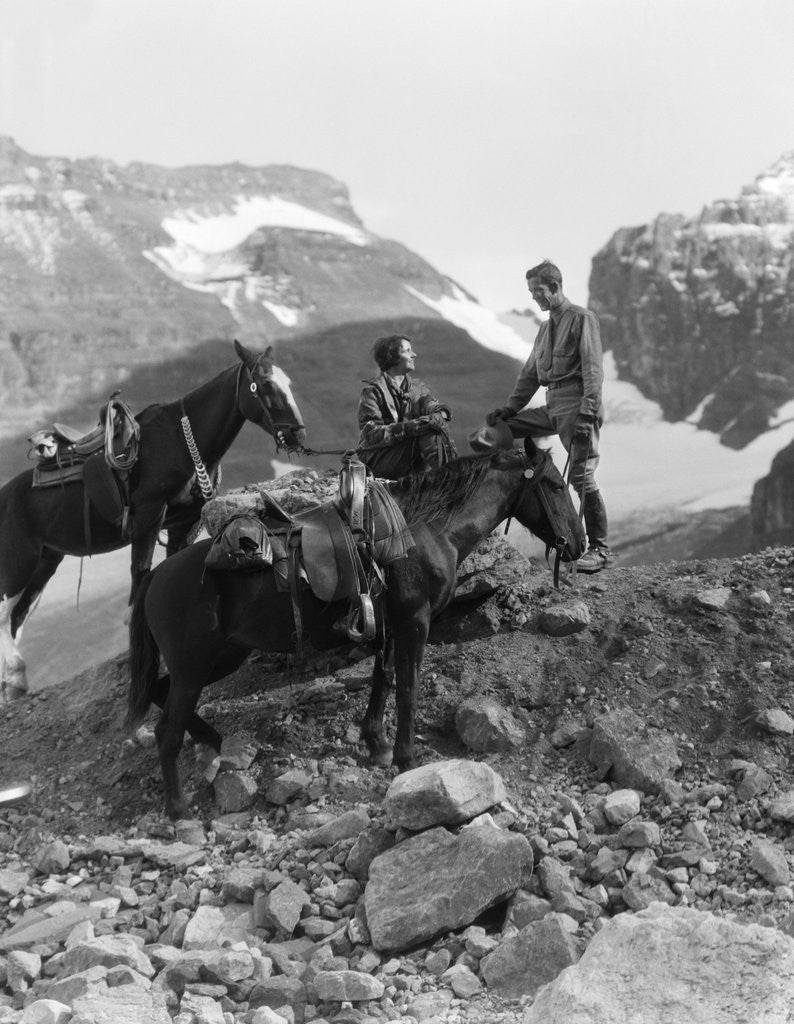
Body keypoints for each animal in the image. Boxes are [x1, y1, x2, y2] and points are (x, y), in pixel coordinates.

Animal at [0, 340, 306, 701]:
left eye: (289, 381)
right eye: (265, 384)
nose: (297, 434)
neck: (180, 443)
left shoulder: (184, 524)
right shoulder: (149, 517)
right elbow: (141, 572)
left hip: (45, 563)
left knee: (17, 616)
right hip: (18, 563)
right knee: (5, 614)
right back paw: (14, 678)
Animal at [127, 441, 586, 820]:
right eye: (553, 485)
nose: (579, 544)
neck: (419, 531)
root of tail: (156, 577)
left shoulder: (388, 626)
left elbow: (383, 679)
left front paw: (376, 744)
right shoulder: (415, 621)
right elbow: (408, 687)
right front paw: (405, 757)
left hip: (218, 658)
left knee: (162, 693)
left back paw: (213, 745)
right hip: (195, 666)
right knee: (166, 730)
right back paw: (178, 809)